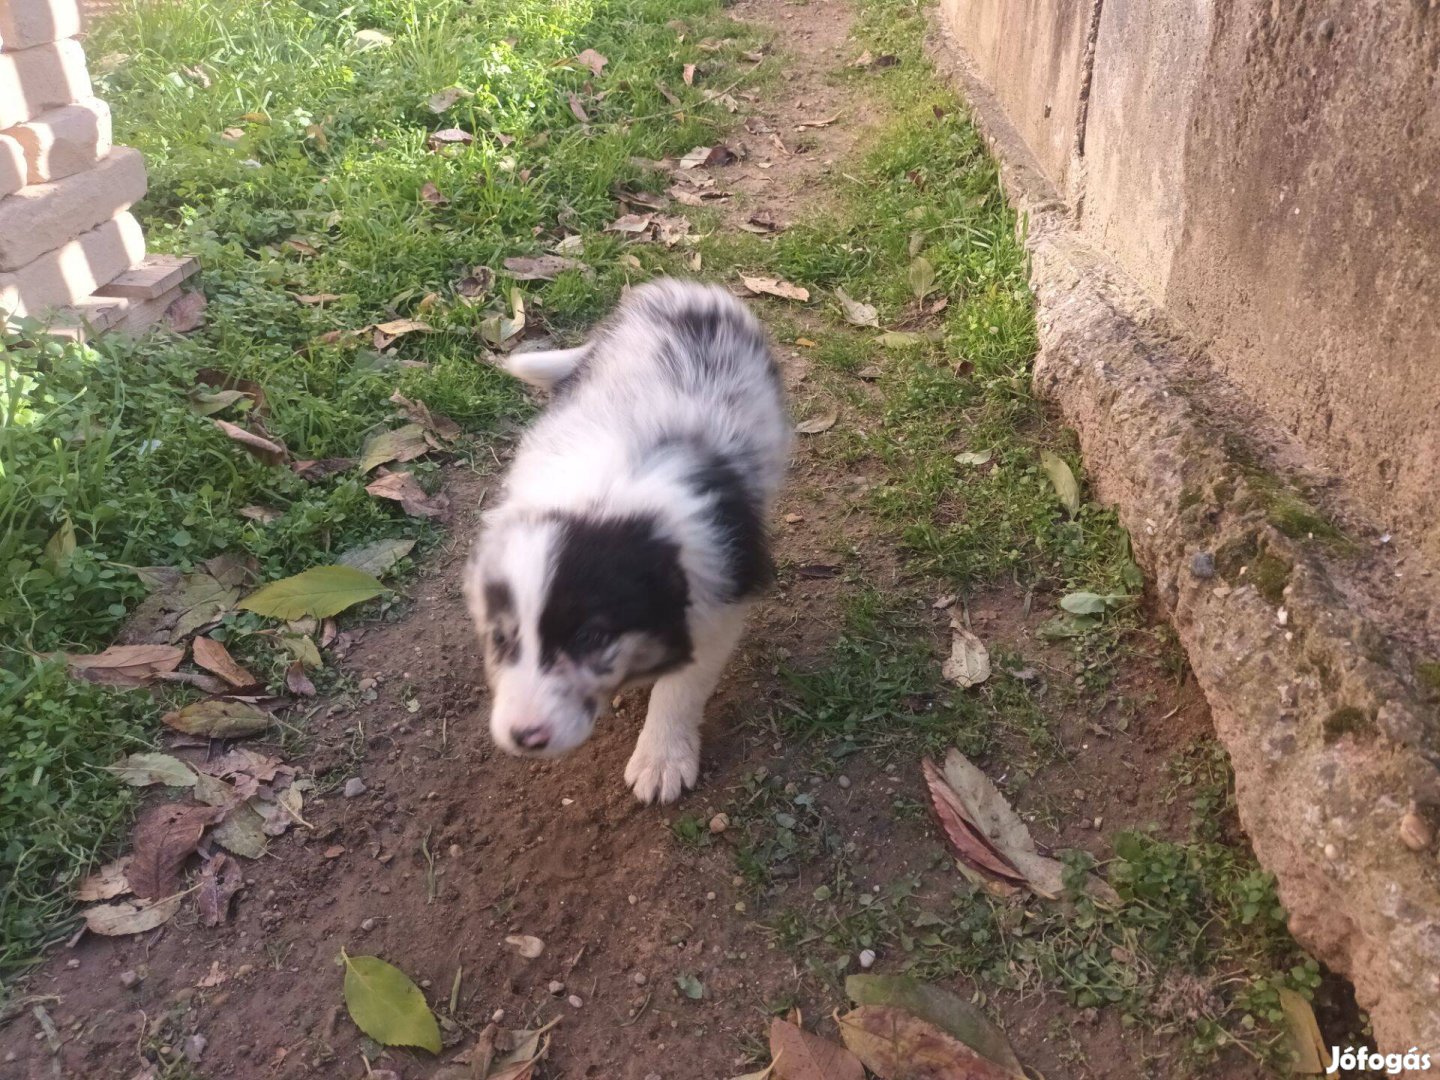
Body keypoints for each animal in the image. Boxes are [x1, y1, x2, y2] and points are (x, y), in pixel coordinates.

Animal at [466, 279, 794, 806]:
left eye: (591, 638)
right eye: (500, 638)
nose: (524, 737)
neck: (603, 497)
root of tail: (681, 286)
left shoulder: (716, 593)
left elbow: (681, 685)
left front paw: (661, 760)